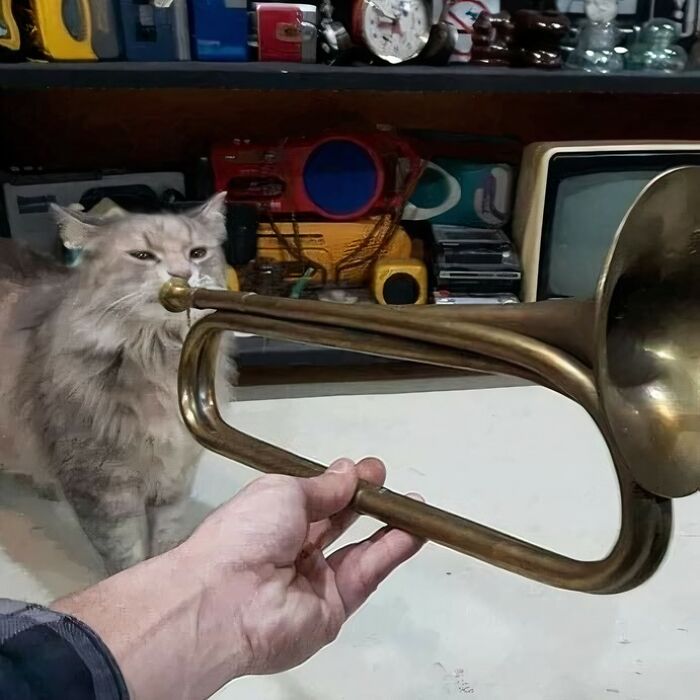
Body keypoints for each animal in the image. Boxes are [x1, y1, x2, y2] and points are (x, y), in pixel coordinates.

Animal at [0, 193, 235, 576]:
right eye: (143, 256)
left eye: (197, 253)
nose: (182, 275)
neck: (157, 357)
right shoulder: (102, 488)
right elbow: (125, 553)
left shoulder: (173, 479)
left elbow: (166, 540)